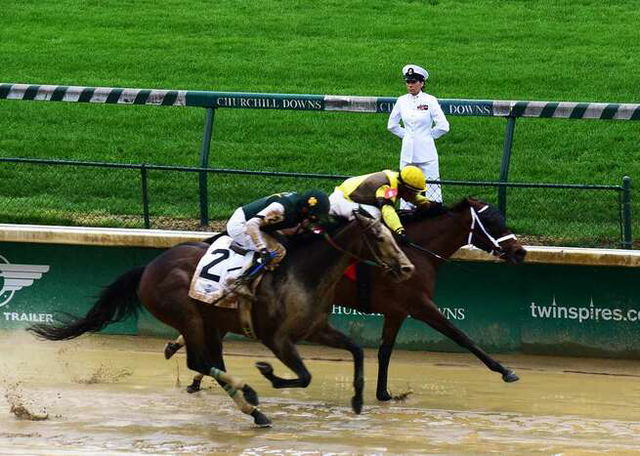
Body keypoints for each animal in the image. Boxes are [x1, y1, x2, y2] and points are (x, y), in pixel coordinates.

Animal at [27, 210, 412, 428]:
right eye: (378, 237)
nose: (407, 267)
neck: (305, 274)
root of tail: (147, 267)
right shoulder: (277, 339)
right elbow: (303, 376)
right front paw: (268, 373)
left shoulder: (316, 328)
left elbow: (357, 351)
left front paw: (358, 399)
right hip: (189, 317)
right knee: (199, 361)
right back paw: (250, 394)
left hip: (210, 323)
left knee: (209, 362)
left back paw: (252, 409)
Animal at [169, 196, 524, 400]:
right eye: (492, 221)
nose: (520, 252)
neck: (415, 252)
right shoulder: (420, 304)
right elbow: (462, 336)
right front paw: (505, 370)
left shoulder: (397, 311)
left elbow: (385, 351)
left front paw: (383, 392)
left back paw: (186, 359)